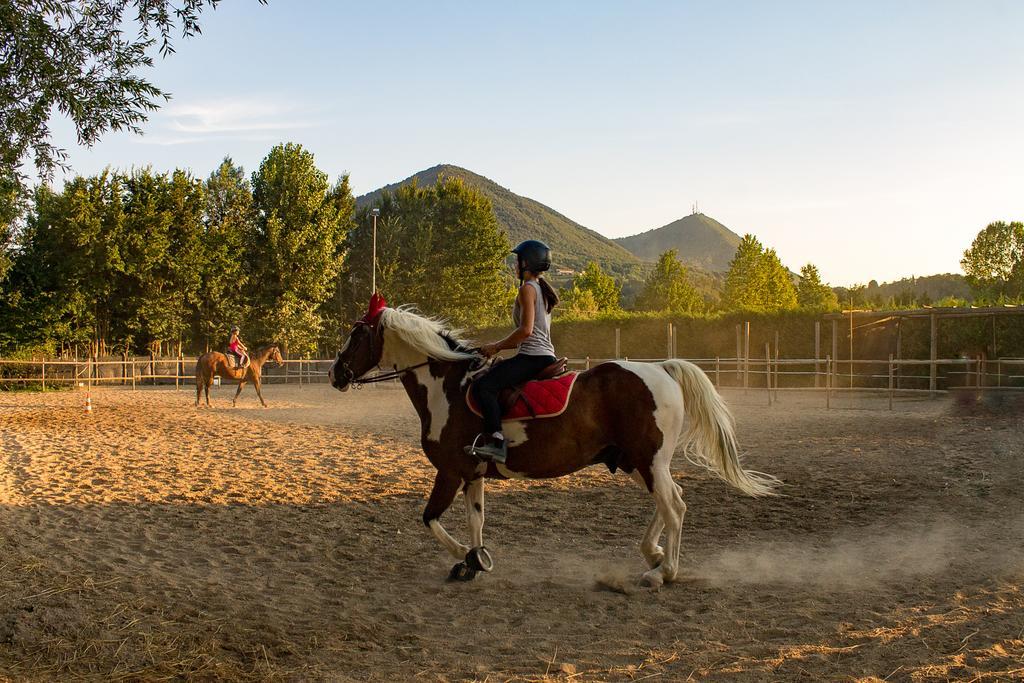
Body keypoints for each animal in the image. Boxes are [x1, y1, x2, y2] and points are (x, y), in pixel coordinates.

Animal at [327, 305, 774, 589]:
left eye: (356, 334)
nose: (335, 374)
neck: (447, 389)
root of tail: (661, 369)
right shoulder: (472, 473)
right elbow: (475, 521)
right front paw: (476, 560)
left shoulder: (450, 471)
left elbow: (431, 519)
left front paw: (470, 559)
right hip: (636, 461)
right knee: (669, 501)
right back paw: (654, 555)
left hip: (648, 461)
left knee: (674, 506)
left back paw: (663, 573)